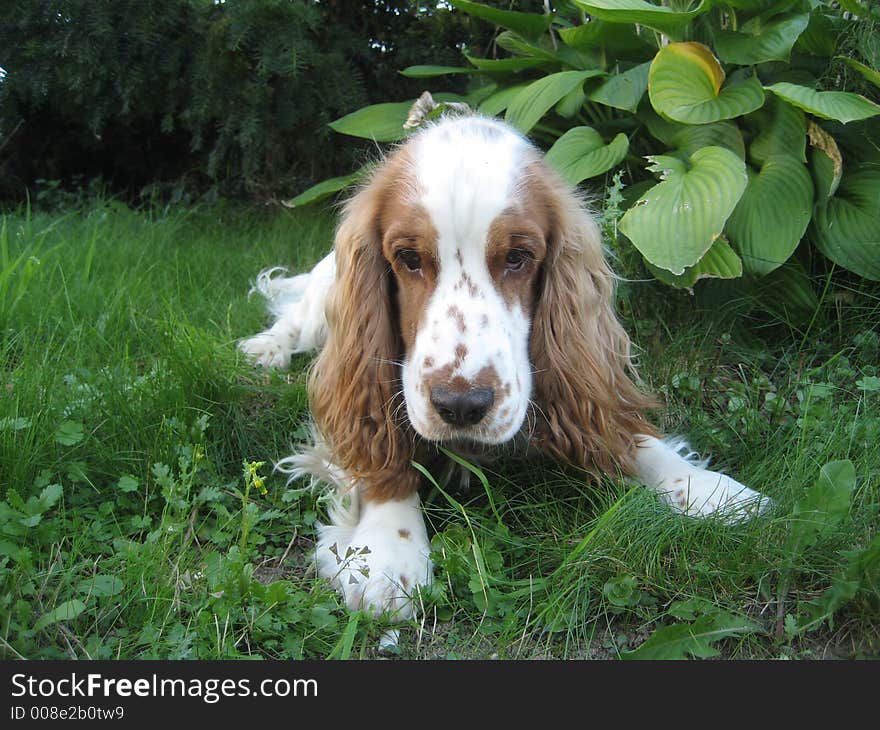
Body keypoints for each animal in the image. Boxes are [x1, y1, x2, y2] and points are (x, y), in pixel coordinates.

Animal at [239, 112, 764, 620]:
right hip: (324, 298)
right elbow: (383, 455)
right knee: (295, 319)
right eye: (407, 257)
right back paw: (266, 349)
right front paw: (389, 552)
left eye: (518, 256)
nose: (461, 406)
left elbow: (630, 437)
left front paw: (708, 488)